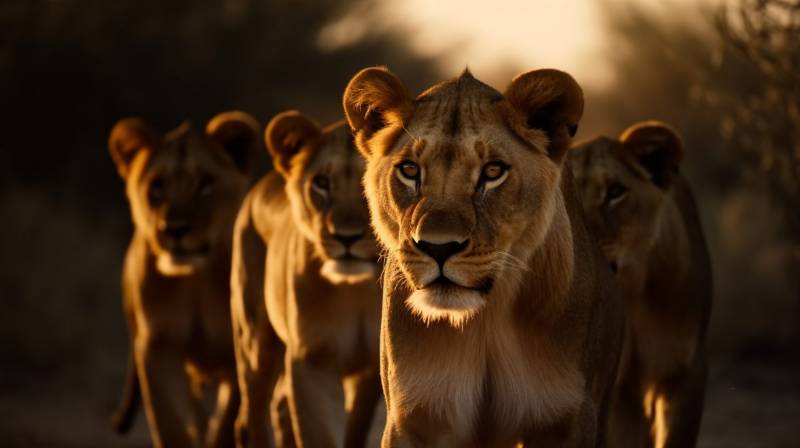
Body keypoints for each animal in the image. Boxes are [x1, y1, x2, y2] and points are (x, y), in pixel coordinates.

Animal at [108, 112, 260, 448]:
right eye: (157, 187)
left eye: (205, 184)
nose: (174, 229)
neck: (195, 282)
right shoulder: (157, 349)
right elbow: (172, 426)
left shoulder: (236, 354)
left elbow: (225, 427)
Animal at [230, 111, 382, 448]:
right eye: (321, 183)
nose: (346, 237)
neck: (357, 294)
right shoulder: (312, 362)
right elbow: (319, 434)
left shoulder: (372, 370)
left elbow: (355, 433)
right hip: (255, 340)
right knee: (251, 417)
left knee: (281, 405)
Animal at [342, 67, 624, 448]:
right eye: (410, 170)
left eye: (493, 172)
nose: (438, 247)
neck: (484, 322)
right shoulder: (411, 418)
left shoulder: (570, 420)